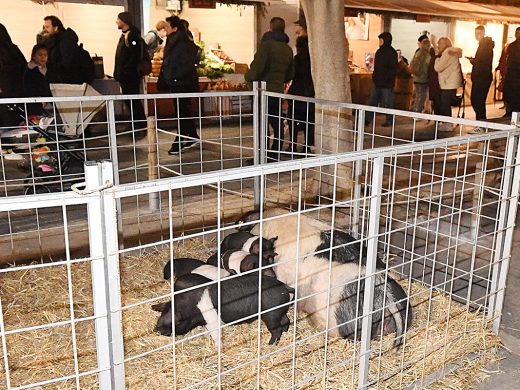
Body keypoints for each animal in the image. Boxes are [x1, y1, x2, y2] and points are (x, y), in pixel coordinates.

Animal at [152, 272, 294, 346]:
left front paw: (218, 348)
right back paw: (285, 332)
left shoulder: (212, 320)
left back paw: (269, 345)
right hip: (279, 311)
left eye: (175, 323)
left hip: (271, 313)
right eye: (161, 315)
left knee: (276, 329)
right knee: (286, 320)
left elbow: (216, 335)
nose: (155, 329)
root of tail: (285, 287)